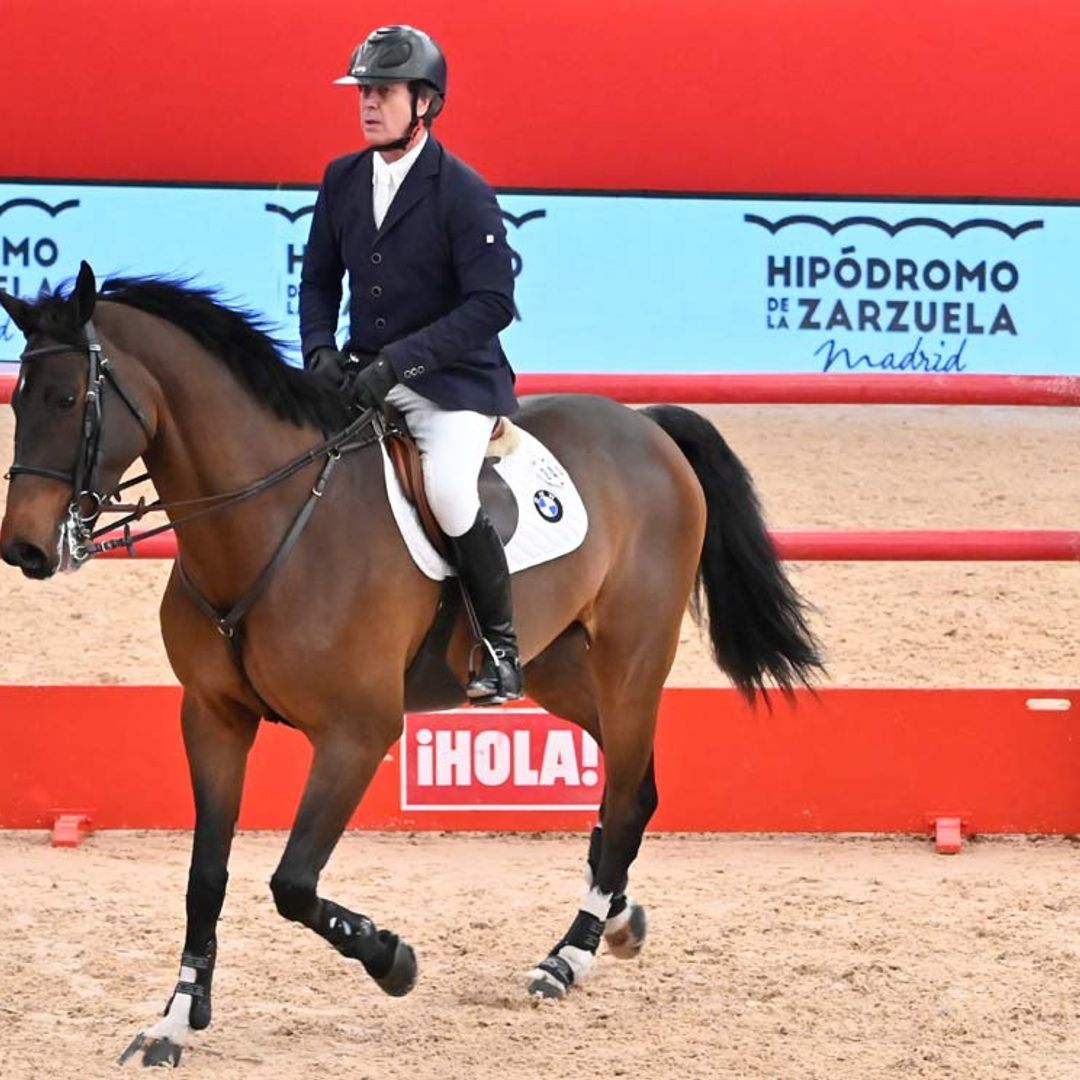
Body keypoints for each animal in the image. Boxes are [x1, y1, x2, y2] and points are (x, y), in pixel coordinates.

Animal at [0, 262, 822, 1068]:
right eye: (21, 399)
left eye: (70, 399)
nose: (26, 548)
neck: (268, 524)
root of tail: (646, 426)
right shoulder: (213, 718)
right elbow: (206, 878)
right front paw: (174, 1020)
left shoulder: (358, 734)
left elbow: (293, 883)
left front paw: (391, 958)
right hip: (557, 667)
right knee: (633, 781)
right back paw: (615, 917)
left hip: (632, 656)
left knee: (624, 794)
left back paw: (567, 957)